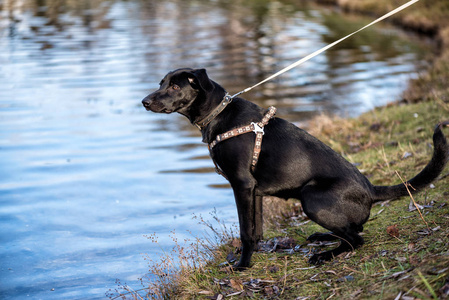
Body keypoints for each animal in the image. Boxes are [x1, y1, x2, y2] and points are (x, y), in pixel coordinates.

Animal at [141, 68, 448, 268]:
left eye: (176, 87)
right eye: (161, 83)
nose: (144, 101)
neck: (219, 115)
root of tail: (372, 190)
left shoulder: (241, 185)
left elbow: (245, 231)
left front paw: (242, 265)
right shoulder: (254, 191)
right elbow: (256, 229)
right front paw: (257, 252)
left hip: (311, 198)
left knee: (355, 238)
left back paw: (324, 255)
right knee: (354, 228)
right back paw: (322, 237)